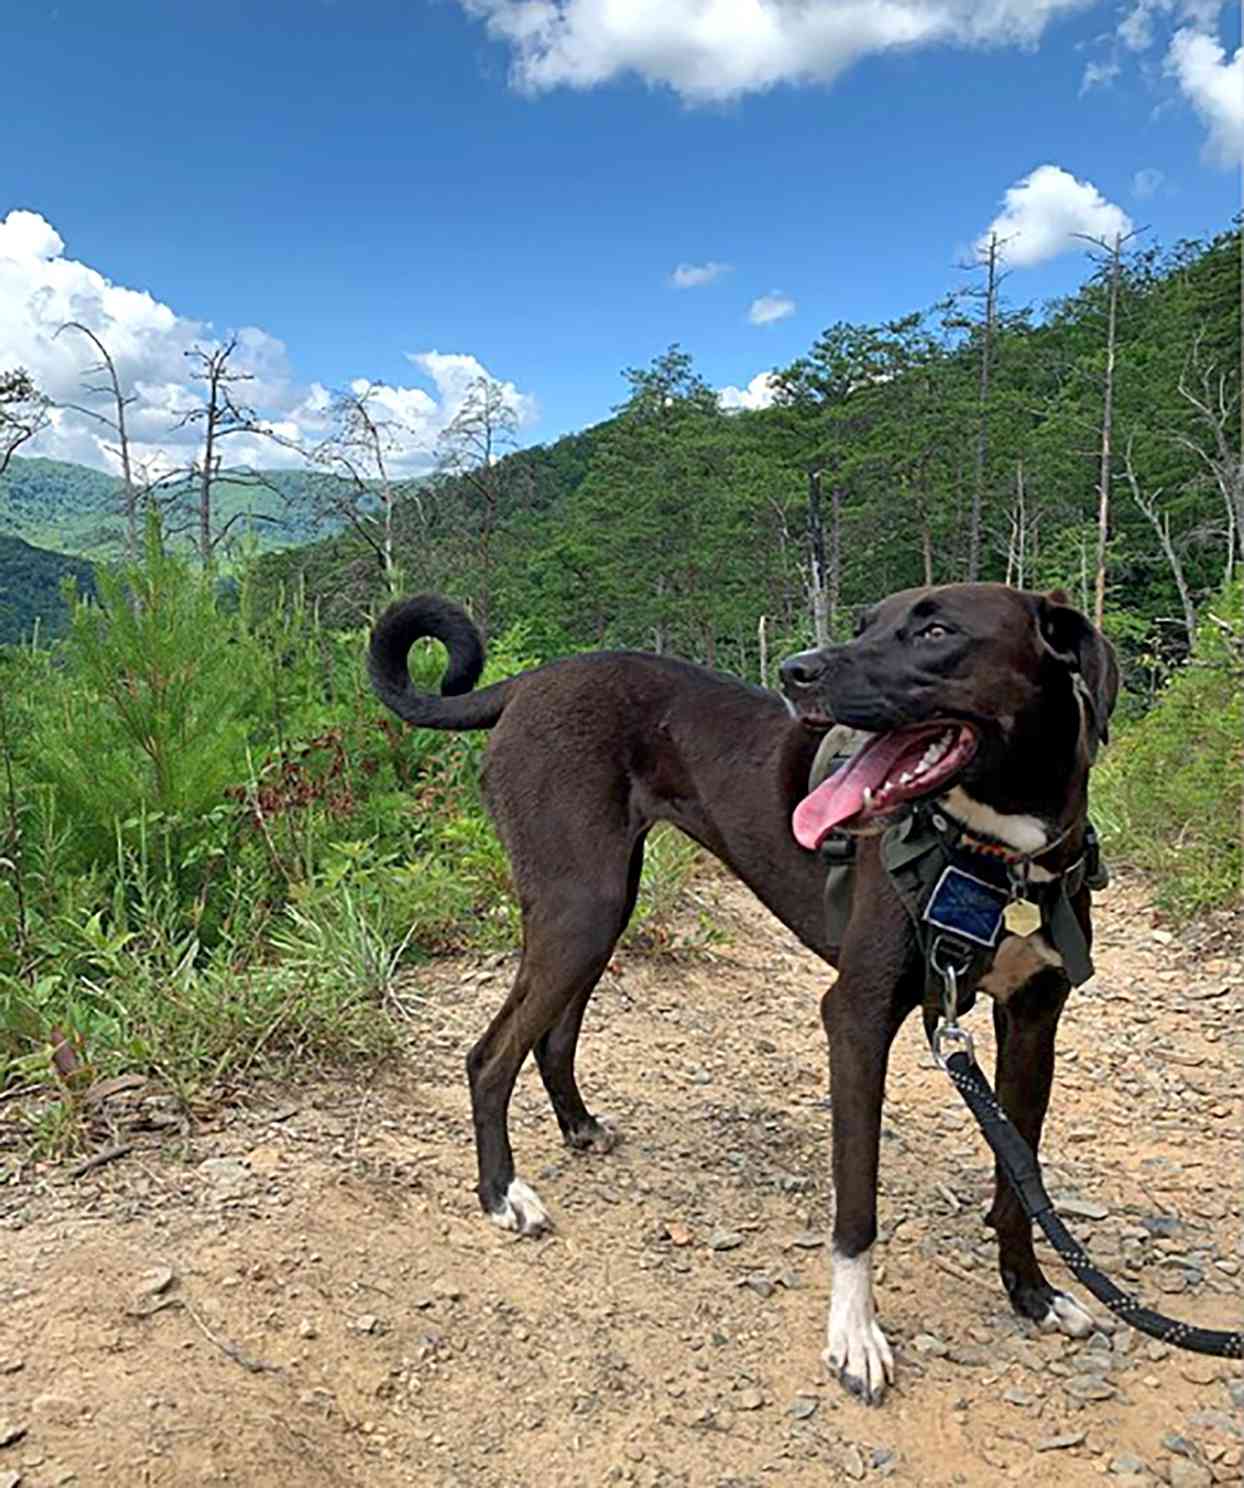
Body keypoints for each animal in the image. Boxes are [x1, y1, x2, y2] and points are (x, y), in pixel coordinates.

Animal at [367, 583, 1119, 1404]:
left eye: (937, 631)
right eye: (866, 623)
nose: (796, 671)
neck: (995, 862)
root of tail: (528, 682)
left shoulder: (1034, 1024)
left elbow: (1021, 1179)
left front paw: (1031, 1292)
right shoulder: (854, 1019)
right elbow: (857, 1206)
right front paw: (854, 1338)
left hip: (601, 905)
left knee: (551, 1035)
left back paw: (578, 1126)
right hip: (580, 906)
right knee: (490, 1056)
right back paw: (503, 1194)